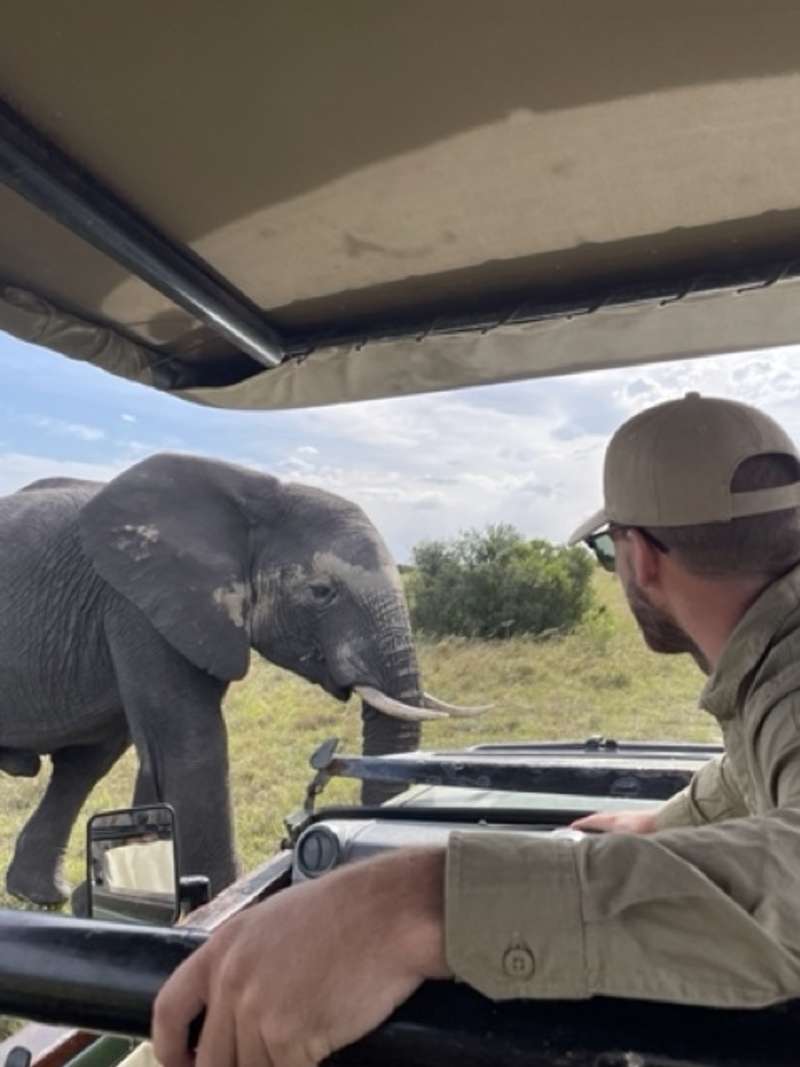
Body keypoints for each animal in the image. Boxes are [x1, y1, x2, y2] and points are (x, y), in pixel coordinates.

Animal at [0, 453, 481, 906]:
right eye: (321, 592)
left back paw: (42, 896)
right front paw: (215, 895)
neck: (257, 496)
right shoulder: (138, 605)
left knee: (84, 763)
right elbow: (192, 742)